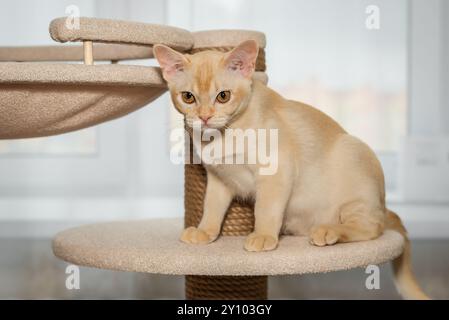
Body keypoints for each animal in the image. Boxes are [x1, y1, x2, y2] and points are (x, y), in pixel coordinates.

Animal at [153, 40, 428, 300]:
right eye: (188, 97)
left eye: (223, 96)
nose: (205, 117)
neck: (222, 136)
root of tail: (382, 205)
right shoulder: (219, 178)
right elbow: (211, 207)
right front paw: (205, 231)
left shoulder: (277, 169)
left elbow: (265, 208)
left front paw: (263, 235)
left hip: (354, 156)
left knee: (372, 227)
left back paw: (328, 231)